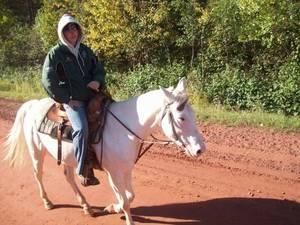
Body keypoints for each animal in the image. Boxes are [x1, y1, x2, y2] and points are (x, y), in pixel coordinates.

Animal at [3, 78, 205, 225]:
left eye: (194, 115)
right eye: (181, 117)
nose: (200, 149)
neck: (124, 128)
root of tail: (32, 105)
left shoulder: (125, 169)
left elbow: (129, 196)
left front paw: (112, 208)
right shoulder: (113, 172)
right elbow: (125, 200)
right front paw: (123, 215)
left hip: (68, 158)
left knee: (68, 177)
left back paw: (86, 206)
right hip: (36, 151)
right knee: (38, 174)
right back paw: (47, 202)